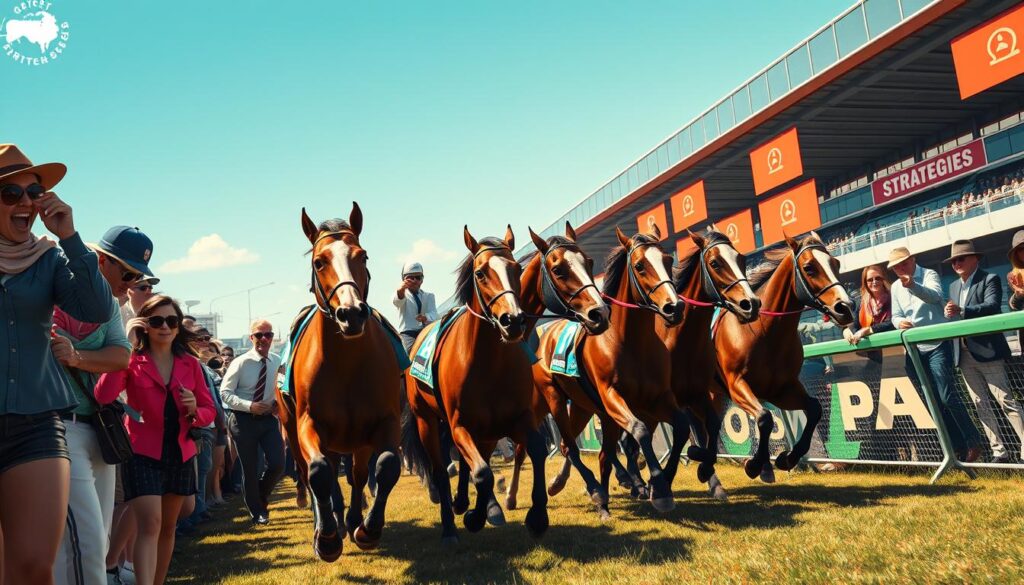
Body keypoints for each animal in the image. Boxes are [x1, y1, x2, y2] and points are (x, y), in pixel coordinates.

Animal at [284, 205, 407, 561]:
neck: (346, 365)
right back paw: (328, 523)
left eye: (362, 256)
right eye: (319, 261)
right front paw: (326, 538)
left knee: (355, 474)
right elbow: (319, 472)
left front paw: (367, 529)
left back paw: (349, 520)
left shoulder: (383, 421)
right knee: (312, 472)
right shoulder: (308, 423)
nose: (350, 313)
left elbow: (386, 466)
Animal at [401, 223, 606, 545]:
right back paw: (451, 523)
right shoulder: (462, 423)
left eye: (589, 262)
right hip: (427, 420)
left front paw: (535, 515)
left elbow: (535, 450)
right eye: (480, 273)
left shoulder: (518, 417)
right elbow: (483, 472)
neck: (489, 360)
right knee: (440, 469)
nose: (598, 313)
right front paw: (476, 516)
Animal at [528, 225, 688, 522]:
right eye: (640, 265)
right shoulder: (613, 397)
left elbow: (681, 426)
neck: (631, 342)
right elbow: (639, 432)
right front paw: (658, 488)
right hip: (556, 399)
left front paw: (662, 481)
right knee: (572, 446)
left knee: (596, 452)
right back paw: (592, 492)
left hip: (585, 408)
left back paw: (597, 496)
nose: (675, 307)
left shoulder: (657, 398)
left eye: (668, 259)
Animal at [712, 231, 856, 487]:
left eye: (836, 264)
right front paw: (754, 464)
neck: (763, 330)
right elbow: (764, 418)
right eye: (809, 267)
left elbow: (813, 409)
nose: (846, 307)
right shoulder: (736, 384)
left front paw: (787, 458)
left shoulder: (781, 387)